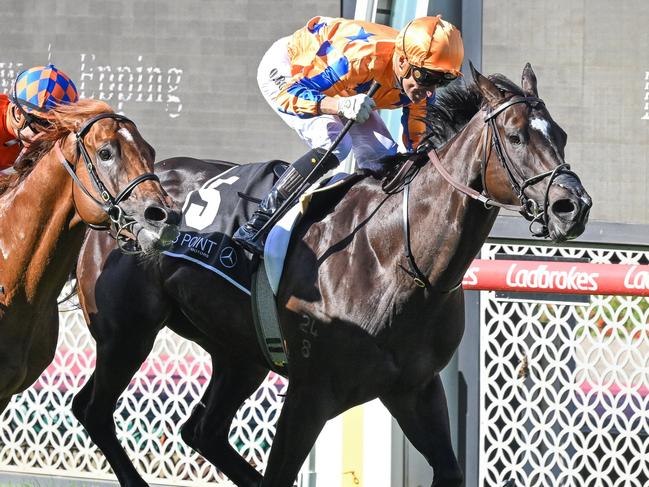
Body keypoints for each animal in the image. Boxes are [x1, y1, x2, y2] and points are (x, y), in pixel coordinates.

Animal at [73, 66, 588, 487]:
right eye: (516, 137)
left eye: (562, 135)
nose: (573, 206)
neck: (396, 258)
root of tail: (114, 202)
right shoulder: (311, 393)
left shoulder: (415, 389)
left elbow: (449, 470)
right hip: (128, 333)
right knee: (94, 411)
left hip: (239, 353)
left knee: (203, 431)